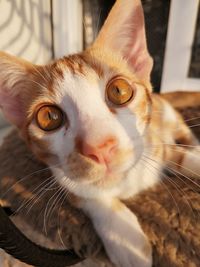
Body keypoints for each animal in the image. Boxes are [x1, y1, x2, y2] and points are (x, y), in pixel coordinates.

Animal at [0, 0, 200, 266]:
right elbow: (87, 194)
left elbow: (183, 156)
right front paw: (127, 239)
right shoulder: (61, 175)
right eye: (49, 117)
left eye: (119, 91)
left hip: (168, 115)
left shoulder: (156, 145)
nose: (100, 148)